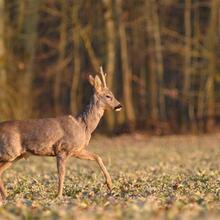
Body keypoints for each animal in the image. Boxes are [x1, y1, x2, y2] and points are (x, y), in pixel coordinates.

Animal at [0, 66, 122, 199]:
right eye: (108, 96)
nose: (119, 105)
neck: (83, 126)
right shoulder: (62, 149)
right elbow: (62, 174)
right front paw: (59, 196)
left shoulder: (76, 150)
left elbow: (97, 156)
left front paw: (110, 185)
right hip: (10, 151)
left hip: (17, 156)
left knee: (0, 171)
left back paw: (6, 196)